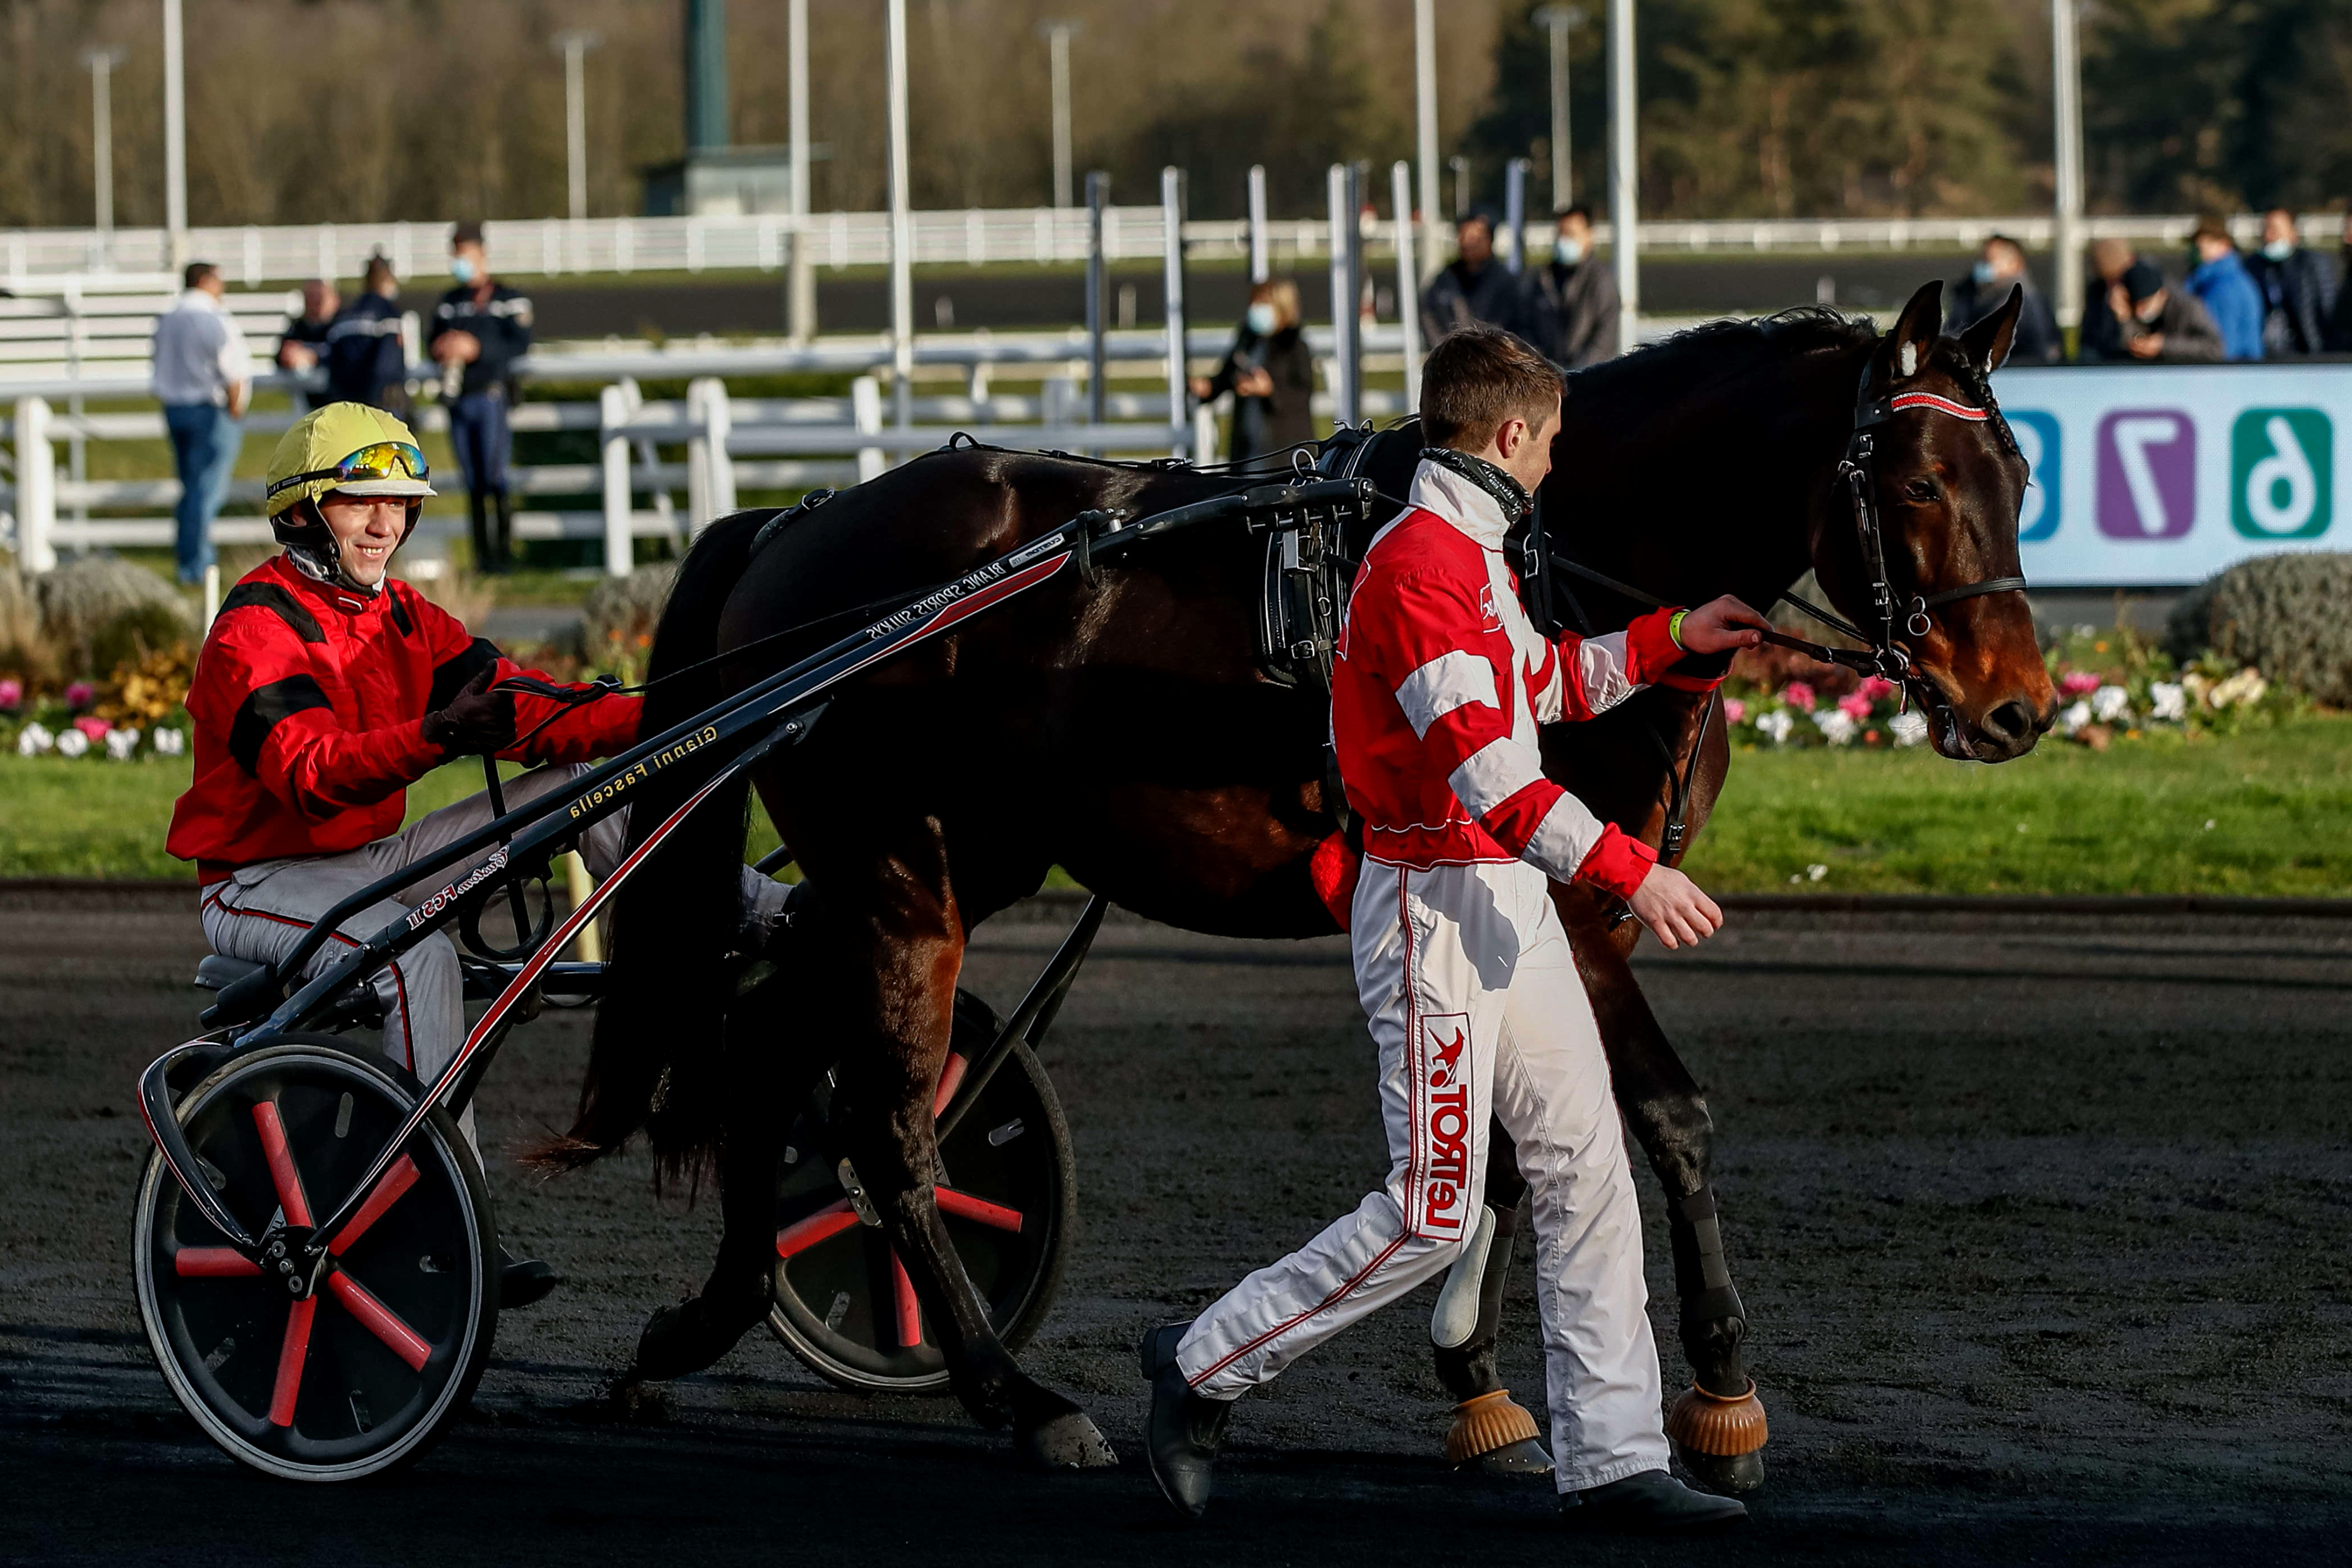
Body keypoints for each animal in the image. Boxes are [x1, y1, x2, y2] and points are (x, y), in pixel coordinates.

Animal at [560, 278, 2051, 1476]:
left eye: (2020, 476)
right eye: (1917, 484)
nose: (2018, 708)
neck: (1539, 556)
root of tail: (789, 531)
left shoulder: (1522, 914)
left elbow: (1503, 1152)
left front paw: (1475, 1377)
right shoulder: (1574, 908)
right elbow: (1669, 1120)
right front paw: (1724, 1394)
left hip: (923, 869)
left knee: (767, 1045)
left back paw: (699, 1321)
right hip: (901, 876)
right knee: (884, 1123)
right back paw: (1019, 1396)